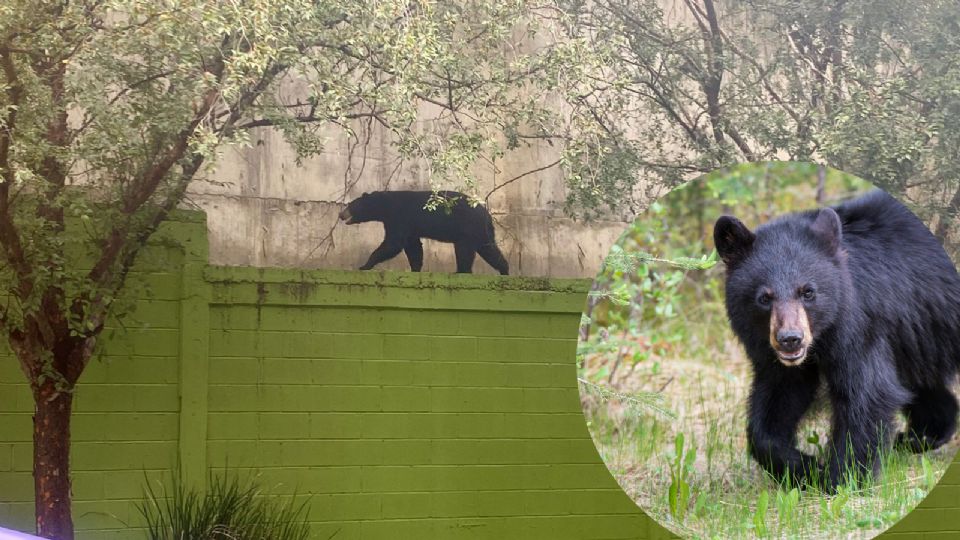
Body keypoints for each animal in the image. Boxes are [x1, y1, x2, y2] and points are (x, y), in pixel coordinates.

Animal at [342, 189, 512, 274]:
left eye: (349, 205)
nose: (340, 214)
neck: (385, 205)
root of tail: (487, 215)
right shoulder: (409, 226)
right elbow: (413, 247)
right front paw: (415, 268)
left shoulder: (399, 217)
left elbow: (393, 243)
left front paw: (365, 265)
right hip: (481, 232)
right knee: (490, 250)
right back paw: (504, 270)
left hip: (467, 229)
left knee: (464, 251)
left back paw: (461, 271)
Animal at [716, 190, 960, 490]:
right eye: (764, 297)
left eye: (808, 292)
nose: (790, 340)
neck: (822, 336)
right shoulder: (775, 356)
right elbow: (778, 398)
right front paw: (803, 468)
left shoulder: (861, 326)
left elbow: (867, 394)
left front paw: (841, 478)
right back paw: (921, 436)